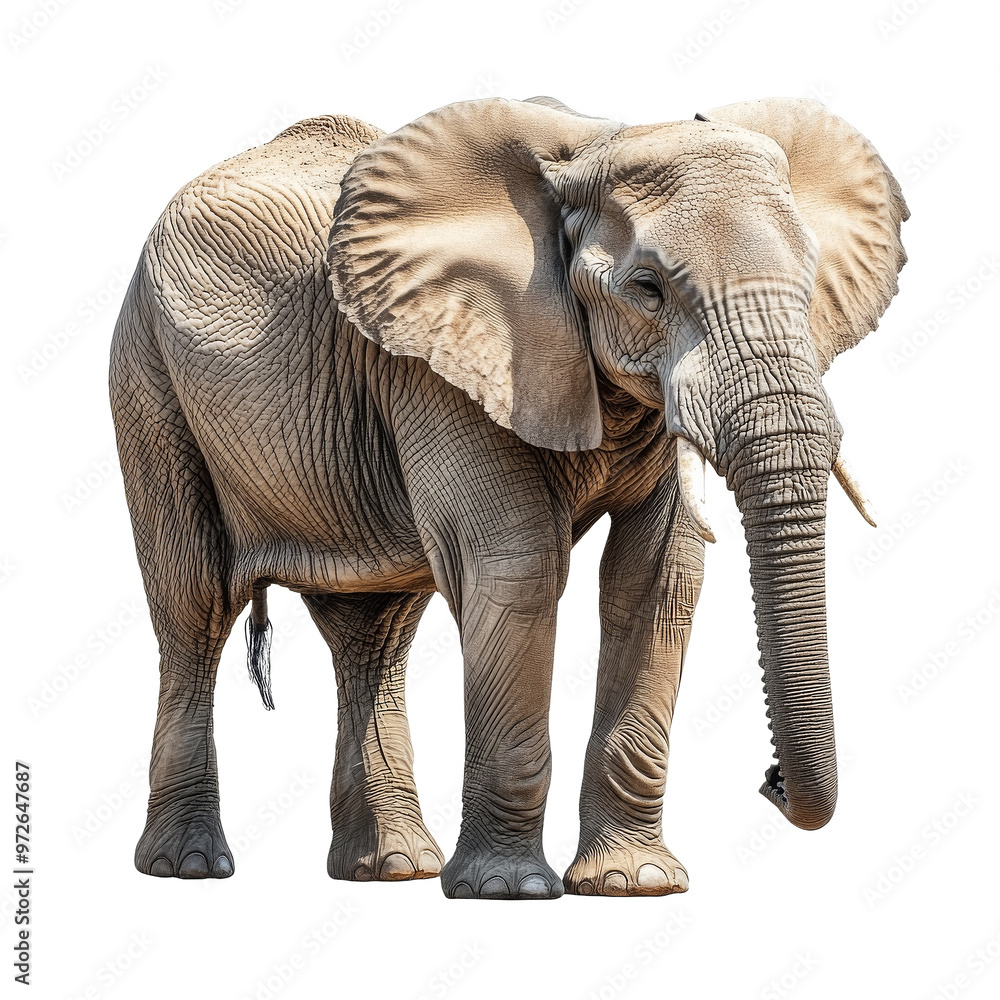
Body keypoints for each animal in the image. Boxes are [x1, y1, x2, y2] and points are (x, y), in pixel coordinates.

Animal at [109, 94, 907, 899]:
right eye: (647, 288)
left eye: (811, 278)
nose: (771, 782)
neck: (590, 153)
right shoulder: (445, 360)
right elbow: (517, 567)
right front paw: (508, 890)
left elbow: (658, 577)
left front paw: (635, 883)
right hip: (146, 376)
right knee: (194, 608)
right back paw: (189, 867)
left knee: (375, 633)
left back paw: (392, 870)